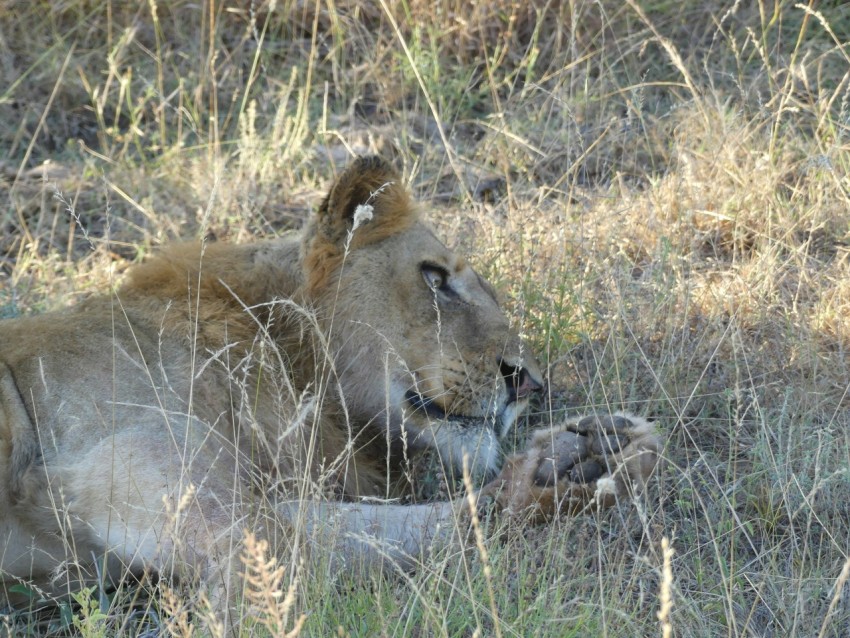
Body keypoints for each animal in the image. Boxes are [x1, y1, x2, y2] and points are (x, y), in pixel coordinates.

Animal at [0, 156, 664, 620]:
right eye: (435, 278)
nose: (529, 383)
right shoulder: (132, 457)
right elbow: (284, 552)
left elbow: (382, 529)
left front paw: (573, 465)